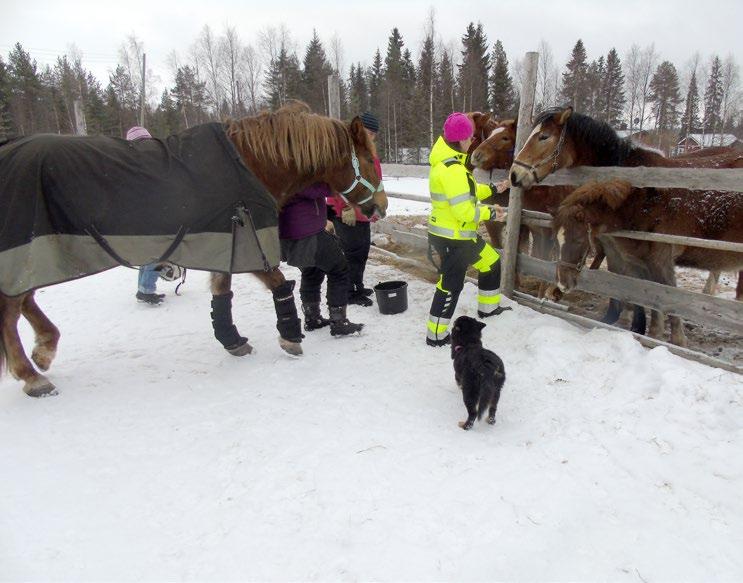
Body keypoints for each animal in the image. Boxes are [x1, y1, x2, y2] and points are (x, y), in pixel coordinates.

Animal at [556, 180, 740, 346]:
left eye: (579, 240)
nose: (562, 284)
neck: (646, 208)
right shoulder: (643, 263)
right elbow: (651, 295)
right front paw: (652, 333)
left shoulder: (661, 262)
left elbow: (667, 294)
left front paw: (677, 340)